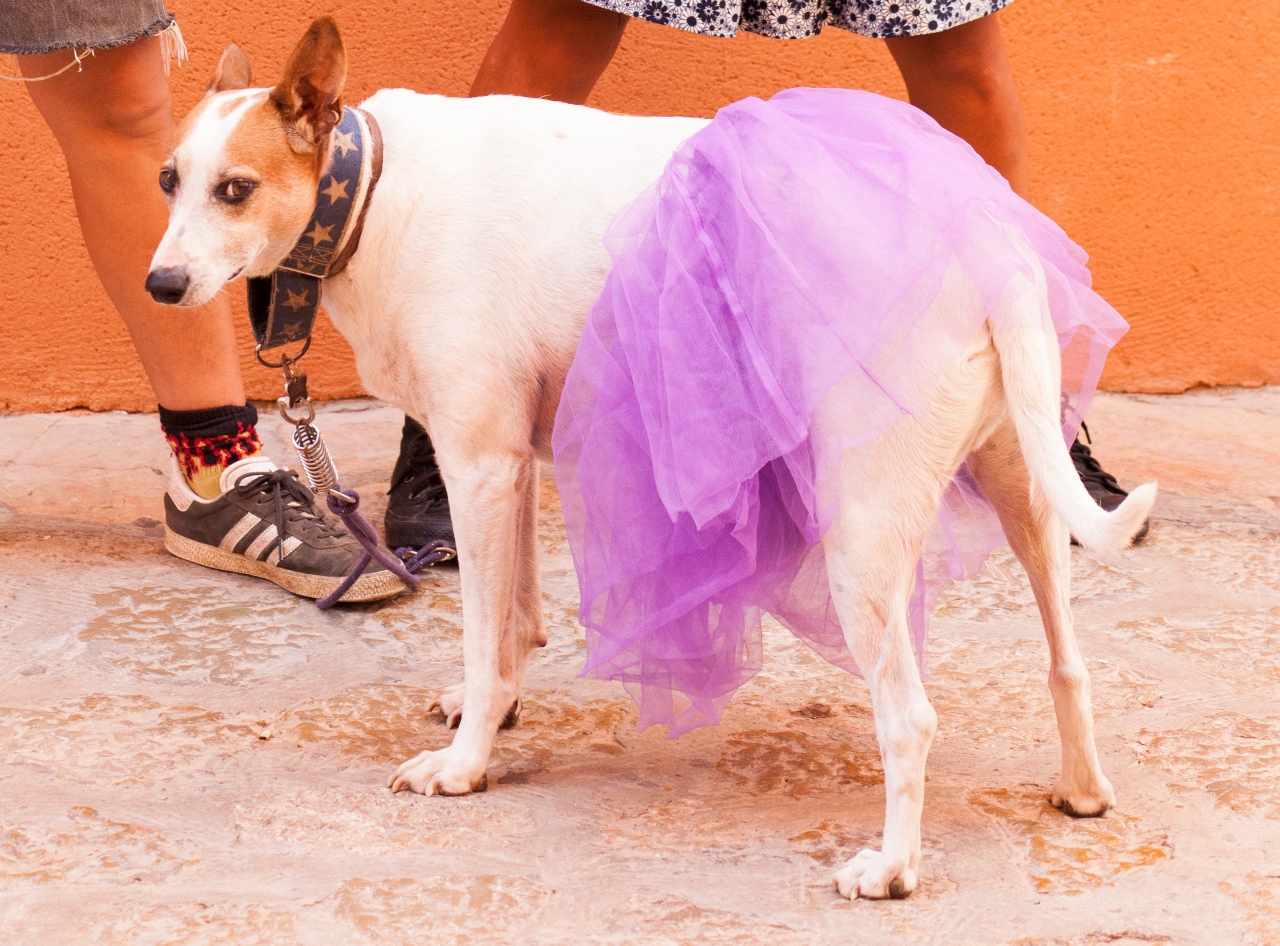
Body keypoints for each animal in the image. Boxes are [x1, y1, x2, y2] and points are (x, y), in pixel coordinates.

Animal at [147, 18, 1152, 901]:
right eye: (167, 180)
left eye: (235, 189)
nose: (159, 285)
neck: (375, 189)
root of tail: (989, 245)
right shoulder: (509, 465)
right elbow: (511, 626)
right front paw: (492, 712)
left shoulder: (480, 466)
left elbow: (481, 632)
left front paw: (467, 764)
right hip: (1024, 491)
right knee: (1069, 661)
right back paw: (1083, 791)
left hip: (862, 535)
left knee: (909, 716)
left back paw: (893, 868)